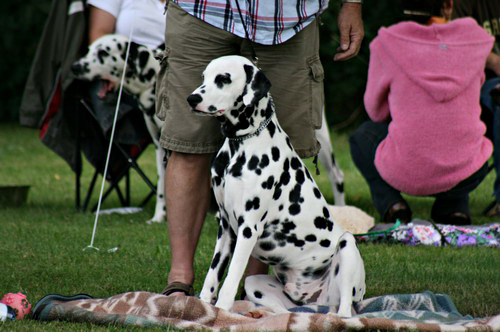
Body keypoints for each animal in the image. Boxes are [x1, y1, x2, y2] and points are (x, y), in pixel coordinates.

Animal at [70, 34, 166, 223]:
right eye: (89, 49)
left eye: (103, 52)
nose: (75, 67)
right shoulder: (160, 146)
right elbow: (162, 188)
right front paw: (158, 217)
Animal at [187, 55, 364, 318]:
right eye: (204, 77)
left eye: (223, 78)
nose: (192, 99)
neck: (242, 145)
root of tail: (316, 302)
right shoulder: (226, 227)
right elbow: (212, 276)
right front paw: (204, 306)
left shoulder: (248, 229)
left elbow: (229, 280)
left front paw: (221, 312)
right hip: (257, 285)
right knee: (283, 312)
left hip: (347, 245)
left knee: (344, 309)